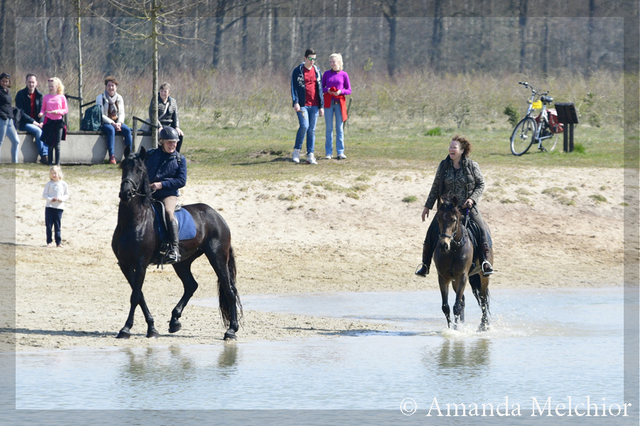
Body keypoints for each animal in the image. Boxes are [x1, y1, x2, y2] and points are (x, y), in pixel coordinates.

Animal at [111, 146, 241, 340]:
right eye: (123, 167)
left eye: (140, 170)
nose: (125, 193)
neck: (134, 221)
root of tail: (217, 216)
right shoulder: (125, 265)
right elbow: (139, 294)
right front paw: (152, 327)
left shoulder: (141, 264)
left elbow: (135, 296)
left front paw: (126, 329)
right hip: (182, 262)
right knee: (191, 285)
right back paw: (174, 321)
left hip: (217, 258)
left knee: (229, 291)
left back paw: (231, 330)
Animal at [432, 197, 492, 332]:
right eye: (438, 219)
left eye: (453, 219)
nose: (444, 245)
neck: (453, 250)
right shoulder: (443, 278)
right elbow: (446, 307)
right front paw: (451, 328)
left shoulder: (462, 276)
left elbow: (457, 307)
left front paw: (455, 330)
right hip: (458, 280)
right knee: (466, 300)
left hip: (483, 276)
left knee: (483, 299)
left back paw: (484, 325)